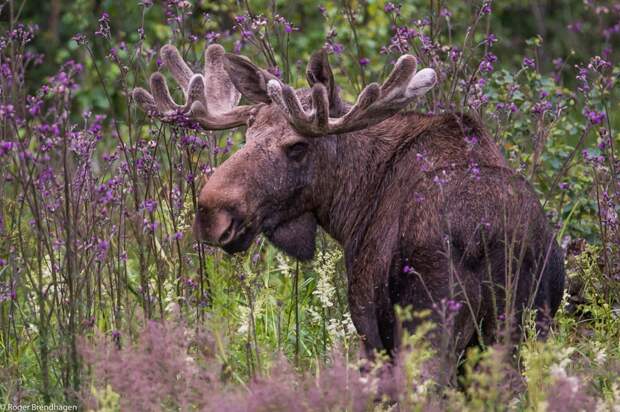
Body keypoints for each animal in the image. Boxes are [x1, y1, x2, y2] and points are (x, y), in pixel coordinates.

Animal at [134, 44, 568, 384]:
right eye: (248, 134)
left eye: (297, 146)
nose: (212, 214)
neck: (352, 205)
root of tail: (487, 236)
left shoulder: (369, 326)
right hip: (523, 329)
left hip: (429, 324)